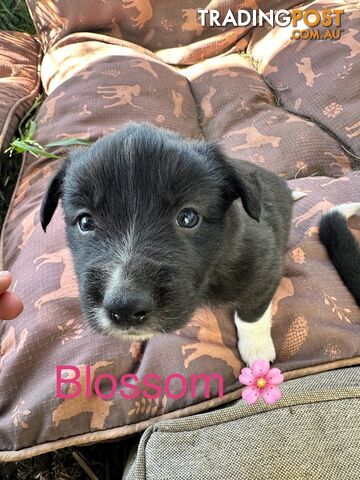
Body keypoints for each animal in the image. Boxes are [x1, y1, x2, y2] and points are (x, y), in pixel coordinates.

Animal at [40, 123, 292, 364]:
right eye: (85, 222)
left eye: (188, 217)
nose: (125, 308)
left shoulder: (264, 266)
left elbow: (251, 314)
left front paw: (257, 351)